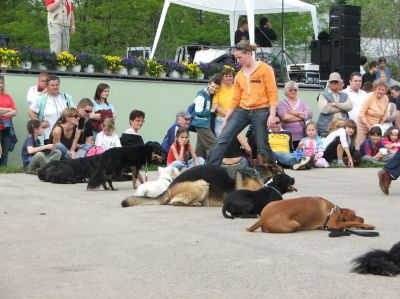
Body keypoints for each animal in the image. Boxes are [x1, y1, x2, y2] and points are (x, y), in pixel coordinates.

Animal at [247, 197, 376, 234]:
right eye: (354, 215)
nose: (363, 218)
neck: (335, 210)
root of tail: (262, 218)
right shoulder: (333, 224)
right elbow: (351, 222)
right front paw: (367, 225)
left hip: (270, 203)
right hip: (294, 224)